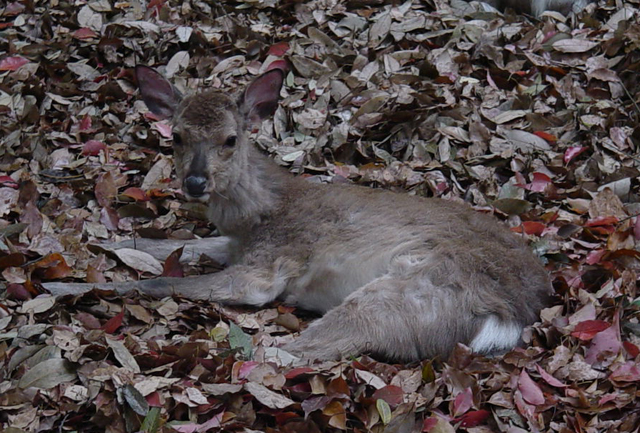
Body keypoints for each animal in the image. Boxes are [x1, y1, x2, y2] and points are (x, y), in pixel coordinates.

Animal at [42, 64, 552, 362]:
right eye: (177, 136)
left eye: (231, 138)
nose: (195, 183)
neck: (260, 214)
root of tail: (513, 315)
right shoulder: (239, 244)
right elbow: (171, 245)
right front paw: (90, 242)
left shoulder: (265, 266)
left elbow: (159, 281)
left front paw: (57, 285)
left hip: (408, 292)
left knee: (294, 352)